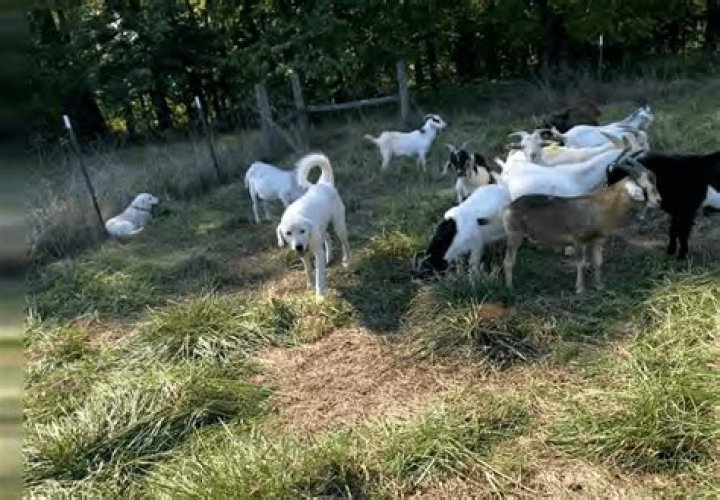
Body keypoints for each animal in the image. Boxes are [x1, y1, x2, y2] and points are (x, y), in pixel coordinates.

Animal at [503, 160, 661, 294]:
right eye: (644, 187)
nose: (658, 201)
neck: (597, 207)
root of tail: (509, 208)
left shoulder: (598, 240)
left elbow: (598, 262)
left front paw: (599, 285)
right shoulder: (579, 241)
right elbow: (581, 263)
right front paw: (580, 289)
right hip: (514, 234)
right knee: (508, 261)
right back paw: (510, 288)